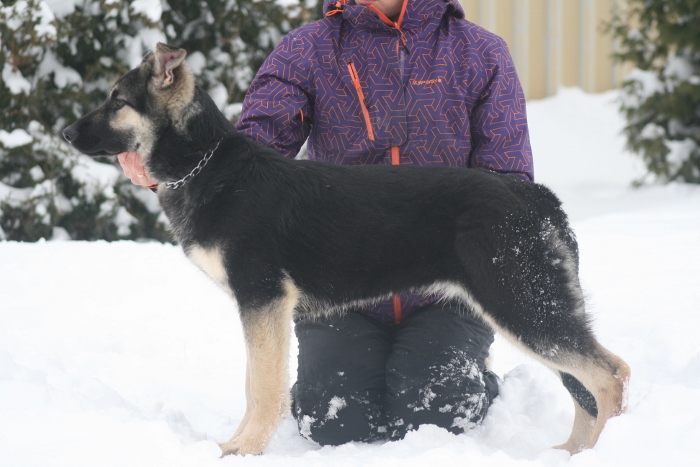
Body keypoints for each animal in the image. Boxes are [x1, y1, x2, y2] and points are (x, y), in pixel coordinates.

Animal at [64, 43, 628, 458]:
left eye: (117, 101)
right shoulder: (261, 309)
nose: (65, 132)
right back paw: (570, 454)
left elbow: (261, 387)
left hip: (520, 305)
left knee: (607, 378)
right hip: (529, 307)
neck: (204, 162)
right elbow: (255, 383)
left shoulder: (261, 300)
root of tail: (534, 195)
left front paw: (242, 449)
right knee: (592, 383)